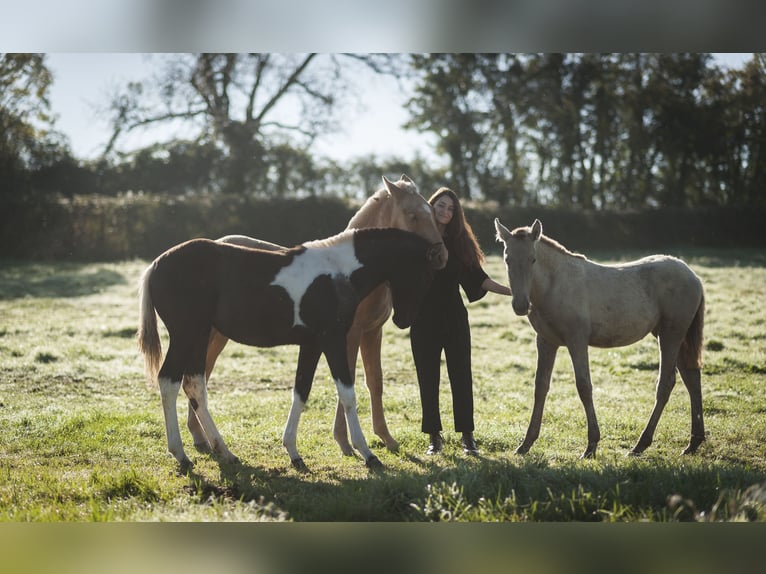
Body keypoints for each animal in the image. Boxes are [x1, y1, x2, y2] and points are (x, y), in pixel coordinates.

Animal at [138, 227, 442, 471]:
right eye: (425, 275)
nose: (403, 320)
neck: (338, 271)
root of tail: (155, 265)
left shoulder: (311, 344)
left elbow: (301, 391)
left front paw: (294, 453)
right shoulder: (332, 340)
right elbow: (347, 394)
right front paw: (367, 453)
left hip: (199, 337)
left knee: (194, 385)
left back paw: (224, 452)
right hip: (186, 335)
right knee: (169, 382)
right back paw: (181, 455)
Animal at [189, 174, 448, 457]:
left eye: (432, 211)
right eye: (413, 216)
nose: (441, 255)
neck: (349, 270)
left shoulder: (372, 332)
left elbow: (375, 381)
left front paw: (385, 437)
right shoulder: (347, 336)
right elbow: (348, 381)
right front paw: (345, 442)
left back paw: (202, 439)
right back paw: (203, 439)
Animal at [494, 218, 706, 459]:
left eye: (533, 259)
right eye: (507, 259)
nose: (520, 305)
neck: (555, 284)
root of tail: (693, 276)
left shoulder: (577, 341)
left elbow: (584, 387)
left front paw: (591, 445)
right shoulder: (546, 342)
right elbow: (540, 387)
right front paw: (526, 443)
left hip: (671, 335)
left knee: (666, 383)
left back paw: (640, 445)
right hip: (674, 337)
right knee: (692, 379)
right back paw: (693, 443)